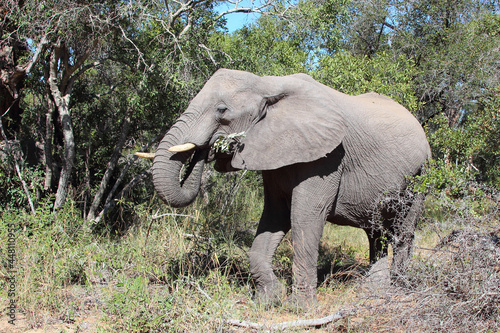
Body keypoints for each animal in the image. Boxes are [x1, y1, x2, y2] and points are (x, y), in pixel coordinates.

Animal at [150, 68, 432, 308]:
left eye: (222, 110)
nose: (205, 149)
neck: (267, 84)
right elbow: (275, 216)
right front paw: (268, 298)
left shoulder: (328, 156)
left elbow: (304, 216)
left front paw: (299, 308)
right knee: (375, 232)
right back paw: (373, 290)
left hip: (422, 174)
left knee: (404, 229)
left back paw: (398, 288)